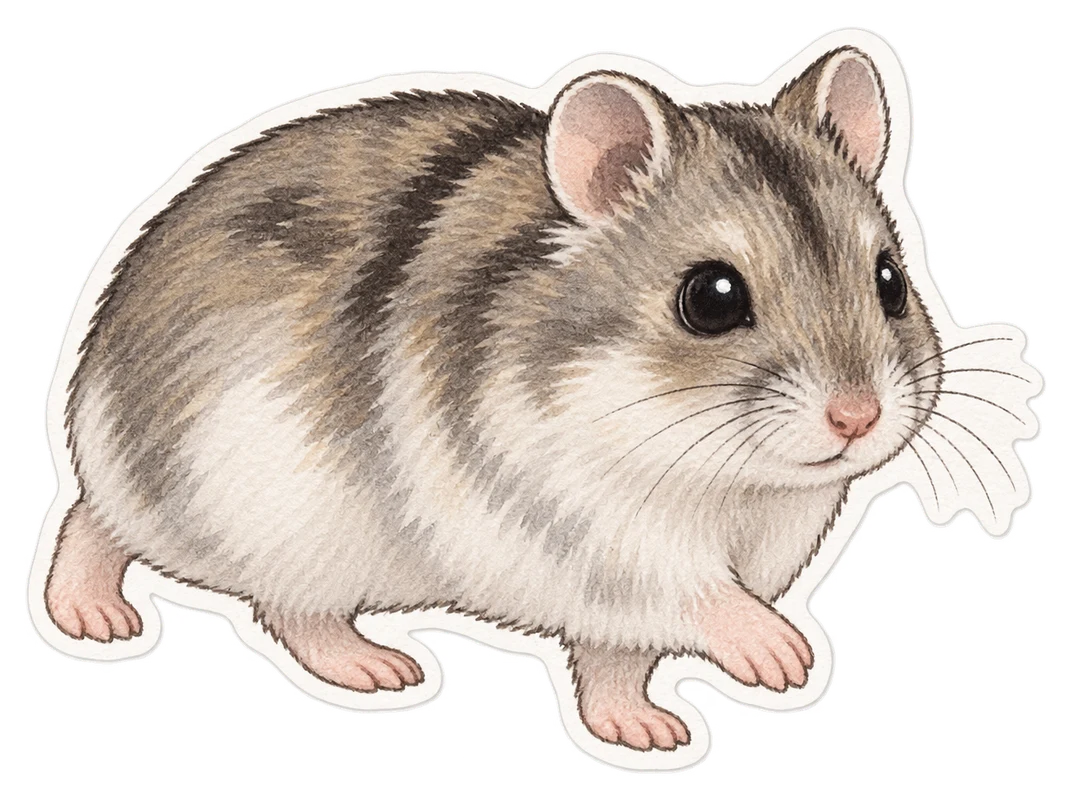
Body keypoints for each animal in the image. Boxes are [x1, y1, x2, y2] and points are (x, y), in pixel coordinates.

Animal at [47, 46, 940, 751]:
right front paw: (787, 660)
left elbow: (615, 665)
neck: (723, 480)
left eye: (891, 282)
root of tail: (94, 392)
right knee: (146, 544)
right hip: (266, 515)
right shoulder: (596, 532)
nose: (857, 417)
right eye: (711, 299)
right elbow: (699, 598)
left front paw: (648, 735)